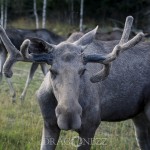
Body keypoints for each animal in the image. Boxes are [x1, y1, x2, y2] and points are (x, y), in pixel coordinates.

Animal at [0, 16, 149, 150]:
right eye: (52, 70)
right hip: (139, 116)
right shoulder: (49, 124)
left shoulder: (90, 126)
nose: (69, 117)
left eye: (83, 70)